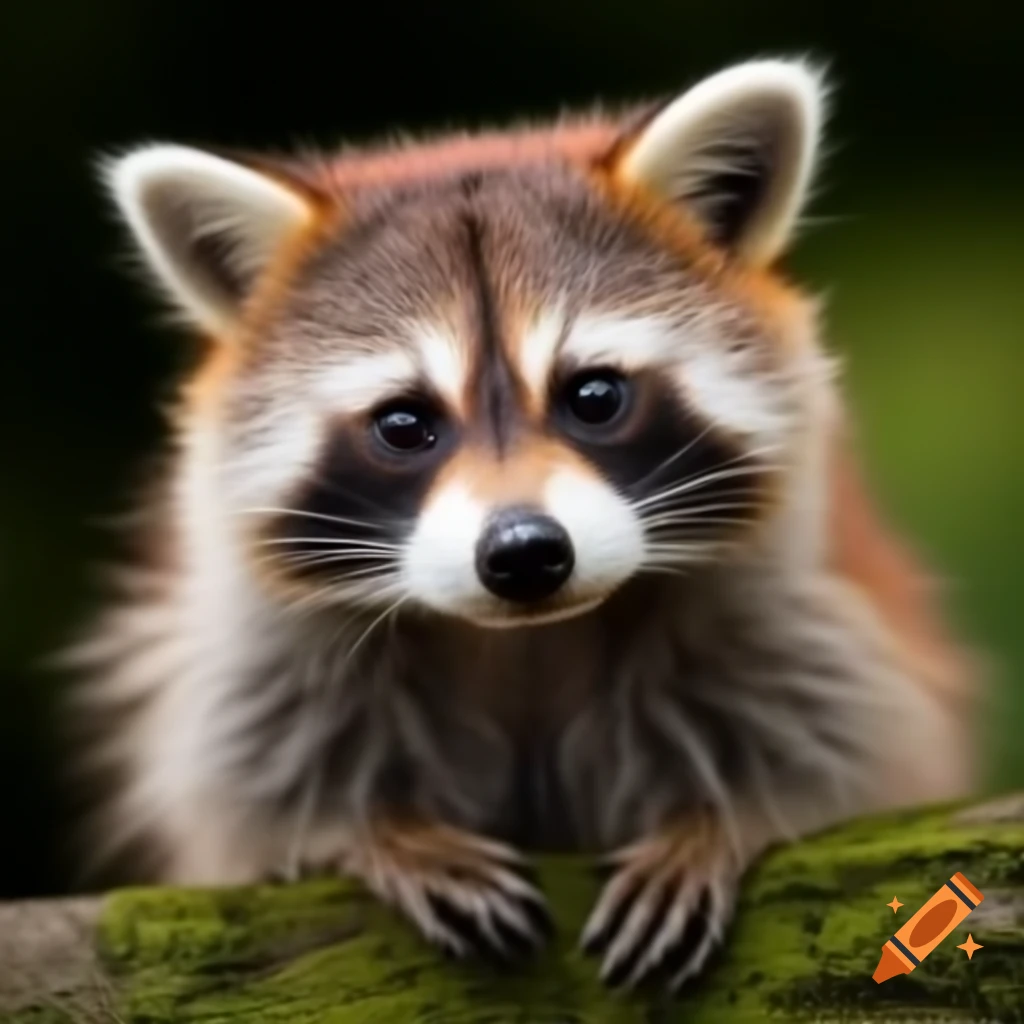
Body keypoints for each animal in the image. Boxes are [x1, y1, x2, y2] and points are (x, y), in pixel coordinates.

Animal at [72, 59, 976, 990]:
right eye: (405, 424)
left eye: (595, 396)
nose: (524, 554)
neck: (524, 640)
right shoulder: (258, 671)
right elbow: (256, 786)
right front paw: (379, 832)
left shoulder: (809, 626)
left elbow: (840, 752)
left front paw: (717, 818)